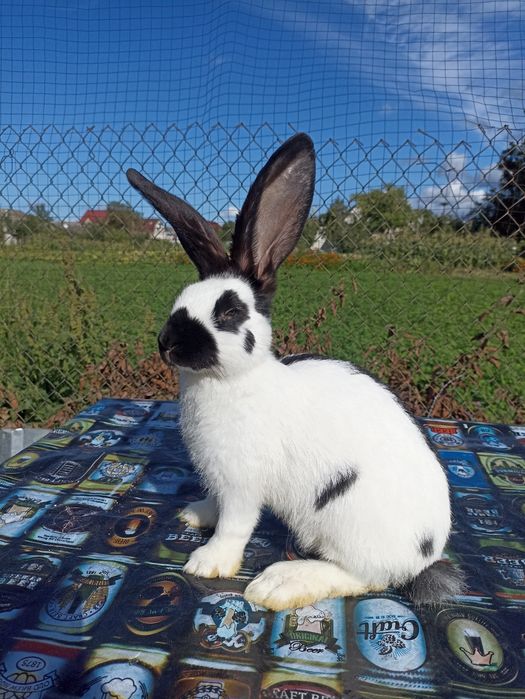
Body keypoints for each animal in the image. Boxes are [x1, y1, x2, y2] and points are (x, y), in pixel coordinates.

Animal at [126, 133, 464, 611]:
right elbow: (216, 504)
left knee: (364, 577)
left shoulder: (243, 483)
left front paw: (207, 562)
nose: (168, 343)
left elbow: (235, 524)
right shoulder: (220, 479)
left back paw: (280, 583)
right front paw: (195, 514)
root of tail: (423, 558)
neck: (233, 381)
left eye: (229, 312)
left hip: (346, 525)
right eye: (180, 300)